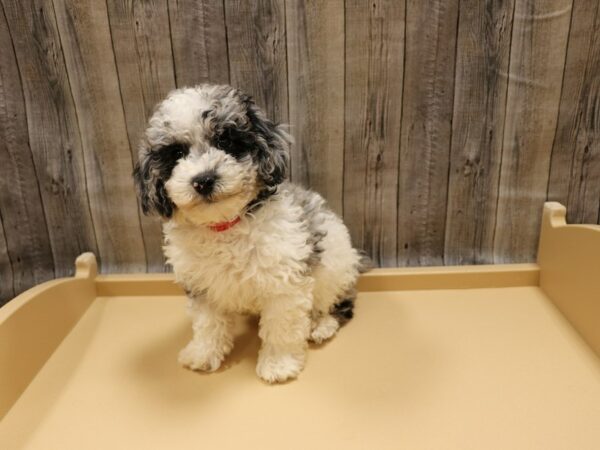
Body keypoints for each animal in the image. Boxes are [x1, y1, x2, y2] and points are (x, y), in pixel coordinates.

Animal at [134, 84, 368, 384]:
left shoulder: (284, 282)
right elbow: (208, 324)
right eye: (176, 154)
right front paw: (202, 353)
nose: (204, 179)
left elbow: (281, 327)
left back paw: (322, 325)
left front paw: (278, 364)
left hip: (335, 269)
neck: (226, 226)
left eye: (227, 142)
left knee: (337, 302)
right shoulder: (202, 286)